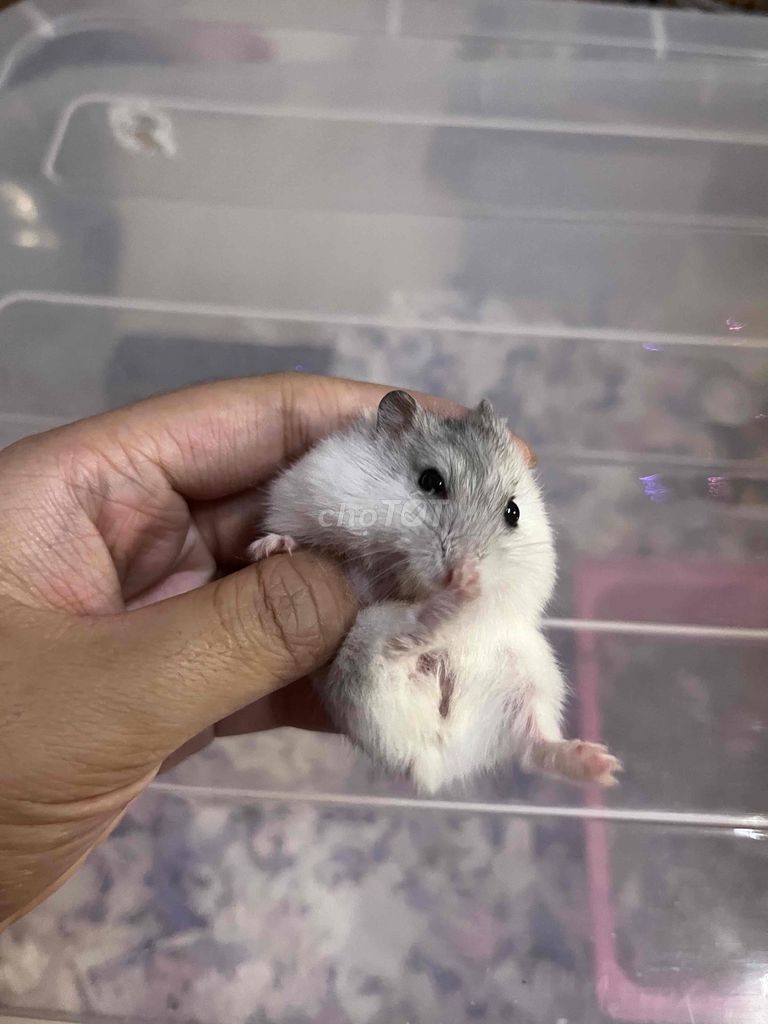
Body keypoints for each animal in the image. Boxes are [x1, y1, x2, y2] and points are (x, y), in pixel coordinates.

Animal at [249, 391, 621, 794]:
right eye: (430, 481)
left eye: (514, 511)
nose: (460, 569)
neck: (406, 574)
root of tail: (435, 760)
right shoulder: (302, 495)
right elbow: (300, 537)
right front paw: (270, 548)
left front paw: (473, 584)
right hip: (366, 640)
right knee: (403, 639)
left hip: (533, 678)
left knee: (535, 744)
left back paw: (600, 765)